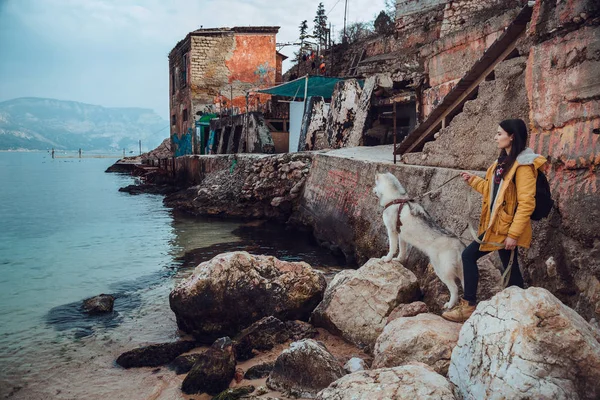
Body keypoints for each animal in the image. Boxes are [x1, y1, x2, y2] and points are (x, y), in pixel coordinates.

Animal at [372, 172, 466, 310]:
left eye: (375, 184)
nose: (372, 189)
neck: (395, 199)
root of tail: (459, 244)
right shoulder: (401, 236)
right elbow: (402, 250)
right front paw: (398, 260)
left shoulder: (391, 231)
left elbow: (392, 248)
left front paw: (387, 259)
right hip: (459, 270)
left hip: (442, 270)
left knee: (454, 288)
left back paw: (450, 304)